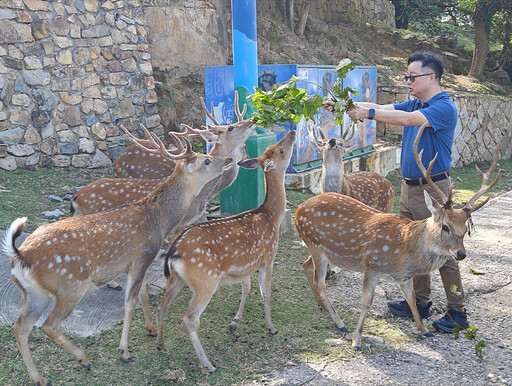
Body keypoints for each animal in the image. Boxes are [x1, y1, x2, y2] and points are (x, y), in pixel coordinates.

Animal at [1, 127, 234, 386]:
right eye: (206, 160)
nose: (229, 159)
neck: (158, 221)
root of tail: (19, 255)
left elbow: (139, 296)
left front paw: (148, 331)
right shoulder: (141, 257)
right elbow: (130, 303)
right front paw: (124, 352)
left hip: (34, 293)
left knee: (20, 327)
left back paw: (40, 377)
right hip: (70, 286)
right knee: (49, 325)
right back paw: (83, 359)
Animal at [158, 131, 298, 372]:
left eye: (272, 148)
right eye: (280, 150)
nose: (291, 132)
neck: (271, 217)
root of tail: (173, 252)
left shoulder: (245, 266)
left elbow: (246, 289)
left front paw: (234, 324)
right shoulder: (268, 257)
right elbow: (265, 293)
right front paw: (271, 328)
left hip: (175, 280)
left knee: (162, 307)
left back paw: (160, 344)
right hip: (205, 279)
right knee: (189, 319)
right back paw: (208, 364)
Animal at [294, 123, 502, 350]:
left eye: (465, 230)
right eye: (445, 227)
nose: (461, 254)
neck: (405, 250)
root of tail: (297, 209)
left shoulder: (405, 277)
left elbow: (411, 300)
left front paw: (424, 329)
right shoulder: (372, 265)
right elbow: (366, 302)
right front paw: (357, 340)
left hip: (316, 247)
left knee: (307, 267)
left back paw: (324, 307)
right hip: (314, 243)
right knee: (320, 282)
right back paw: (340, 323)